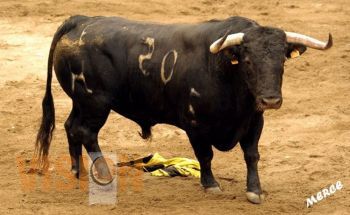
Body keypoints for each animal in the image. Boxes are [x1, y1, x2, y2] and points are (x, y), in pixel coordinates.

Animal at [35, 15, 330, 203]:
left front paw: (255, 191)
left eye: (282, 60)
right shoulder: (195, 126)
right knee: (86, 132)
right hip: (95, 103)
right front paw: (211, 185)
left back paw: (77, 171)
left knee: (71, 127)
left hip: (81, 102)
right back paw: (104, 174)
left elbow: (251, 155)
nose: (270, 100)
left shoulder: (254, 121)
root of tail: (80, 20)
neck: (224, 71)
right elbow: (206, 156)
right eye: (247, 60)